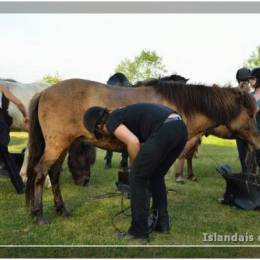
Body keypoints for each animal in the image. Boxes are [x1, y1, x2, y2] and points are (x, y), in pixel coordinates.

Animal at [25, 78, 260, 223]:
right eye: (250, 114)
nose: (258, 142)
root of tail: (44, 92)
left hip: (62, 147)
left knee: (54, 174)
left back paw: (62, 210)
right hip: (56, 146)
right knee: (40, 173)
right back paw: (38, 215)